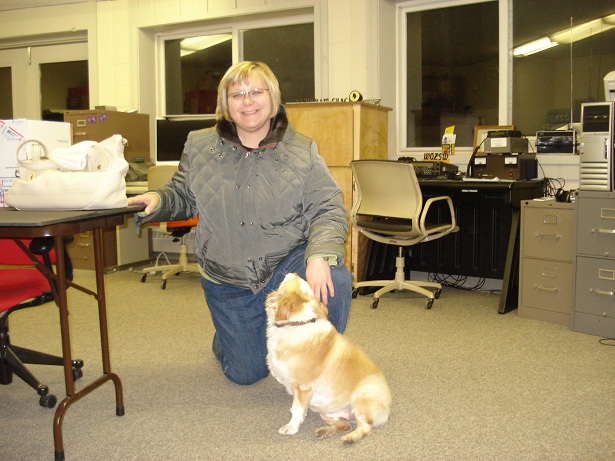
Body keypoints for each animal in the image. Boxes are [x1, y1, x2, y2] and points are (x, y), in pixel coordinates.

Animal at [266, 274, 392, 442]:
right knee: (345, 425)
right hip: (327, 412)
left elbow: (298, 411)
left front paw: (291, 427)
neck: (296, 324)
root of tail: (387, 409)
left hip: (361, 399)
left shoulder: (302, 388)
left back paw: (349, 438)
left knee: (365, 427)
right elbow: (296, 408)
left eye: (293, 281)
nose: (295, 273)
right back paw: (324, 431)